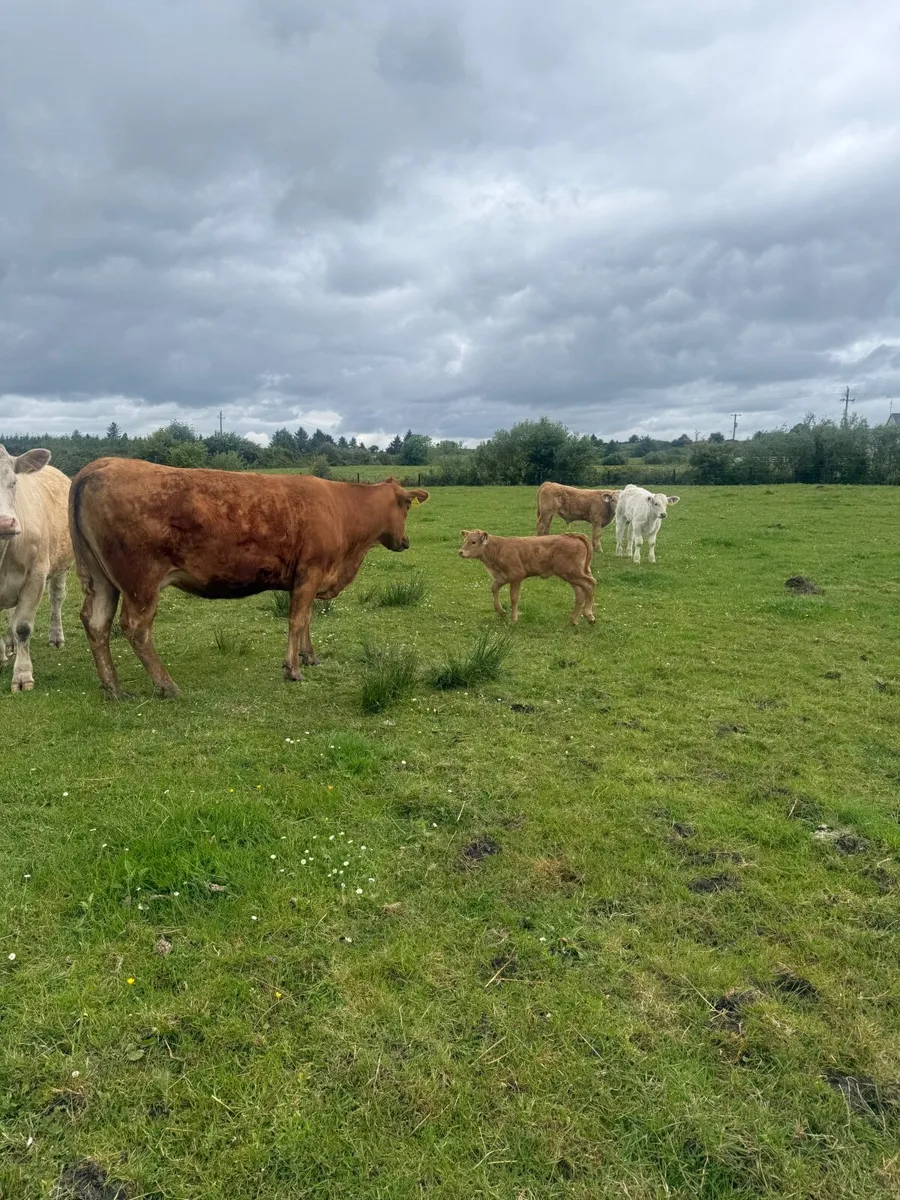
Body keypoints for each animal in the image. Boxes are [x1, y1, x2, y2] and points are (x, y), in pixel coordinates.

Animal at [0, 445, 72, 692]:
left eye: (13, 482)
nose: (5, 523)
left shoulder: (36, 576)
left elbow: (23, 627)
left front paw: (22, 676)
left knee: (56, 599)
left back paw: (56, 637)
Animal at [69, 458, 429, 699]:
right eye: (407, 506)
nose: (406, 541)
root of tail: (101, 465)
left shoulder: (308, 579)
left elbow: (308, 618)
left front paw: (309, 656)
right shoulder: (310, 572)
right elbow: (297, 619)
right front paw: (293, 669)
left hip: (102, 580)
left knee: (96, 623)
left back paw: (113, 688)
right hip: (140, 582)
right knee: (135, 628)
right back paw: (167, 685)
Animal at [458, 529, 596, 625]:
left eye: (473, 542)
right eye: (465, 541)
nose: (460, 552)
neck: (499, 548)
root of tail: (571, 535)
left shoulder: (516, 576)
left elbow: (514, 597)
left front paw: (514, 619)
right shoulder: (503, 577)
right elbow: (494, 588)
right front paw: (501, 611)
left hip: (572, 573)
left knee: (590, 583)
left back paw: (589, 615)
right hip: (571, 575)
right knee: (580, 593)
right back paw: (573, 620)